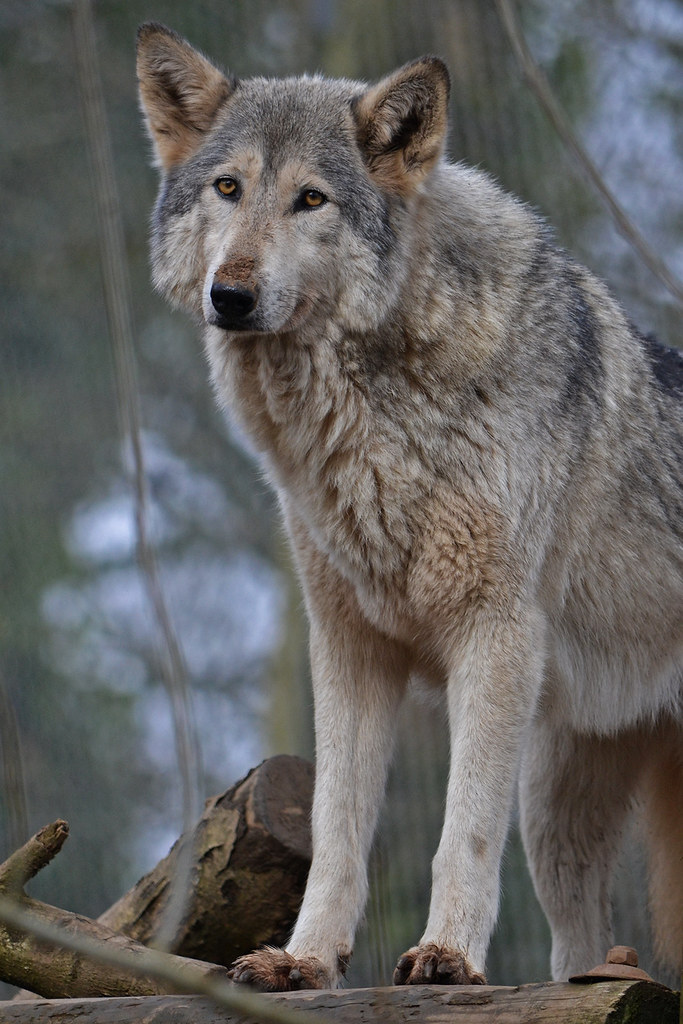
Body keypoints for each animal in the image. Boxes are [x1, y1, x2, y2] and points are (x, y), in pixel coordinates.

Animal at [136, 23, 683, 989]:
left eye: (310, 199)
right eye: (228, 187)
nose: (229, 295)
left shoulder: (494, 637)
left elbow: (460, 831)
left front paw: (446, 956)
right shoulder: (349, 646)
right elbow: (337, 828)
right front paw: (303, 961)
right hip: (555, 806)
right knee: (575, 935)